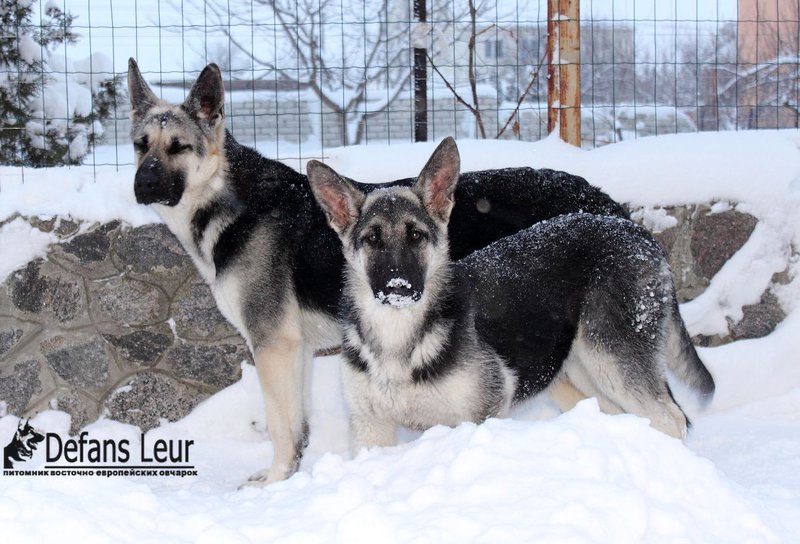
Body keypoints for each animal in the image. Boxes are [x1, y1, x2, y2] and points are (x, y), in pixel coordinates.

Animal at [125, 59, 624, 484]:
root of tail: (602, 200)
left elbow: (282, 428)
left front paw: (275, 482)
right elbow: (298, 426)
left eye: (178, 147)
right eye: (139, 146)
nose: (142, 184)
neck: (228, 200)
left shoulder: (274, 345)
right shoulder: (297, 351)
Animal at [310, 138, 716, 448]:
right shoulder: (371, 428)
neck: (400, 341)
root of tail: (636, 230)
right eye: (371, 239)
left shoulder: (477, 417)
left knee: (672, 418)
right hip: (584, 371)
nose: (398, 287)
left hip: (613, 358)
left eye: (416, 236)